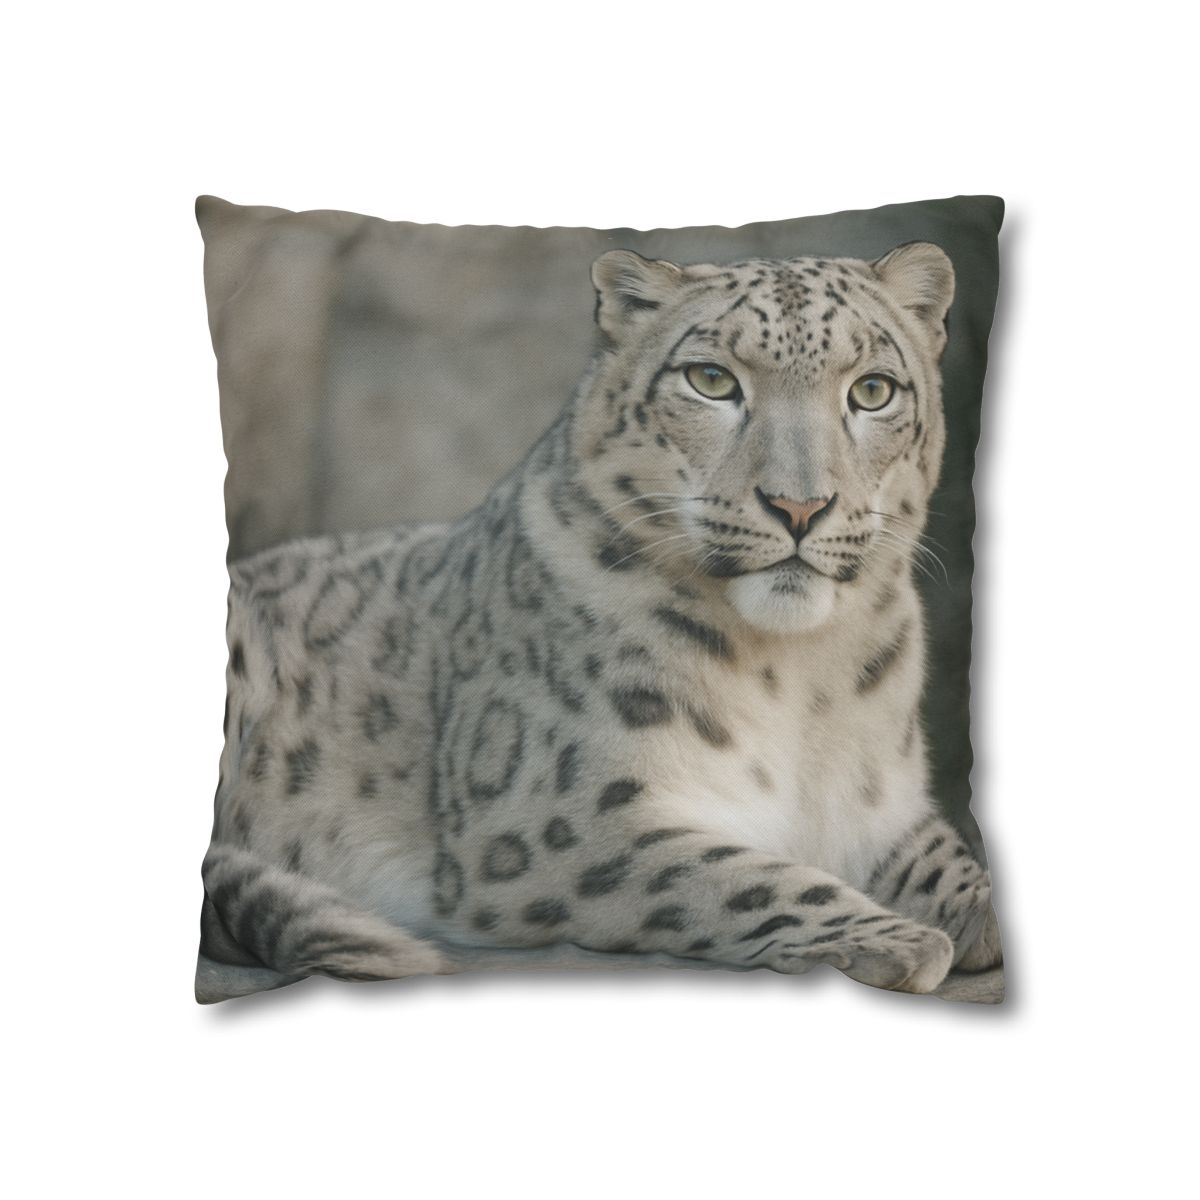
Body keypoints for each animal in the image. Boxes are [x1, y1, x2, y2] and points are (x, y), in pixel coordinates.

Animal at [199, 241, 1003, 1003]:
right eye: (711, 380)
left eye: (873, 390)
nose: (799, 507)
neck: (799, 672)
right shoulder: (562, 814)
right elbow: (731, 876)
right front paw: (900, 940)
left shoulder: (880, 803)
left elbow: (946, 853)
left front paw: (988, 917)